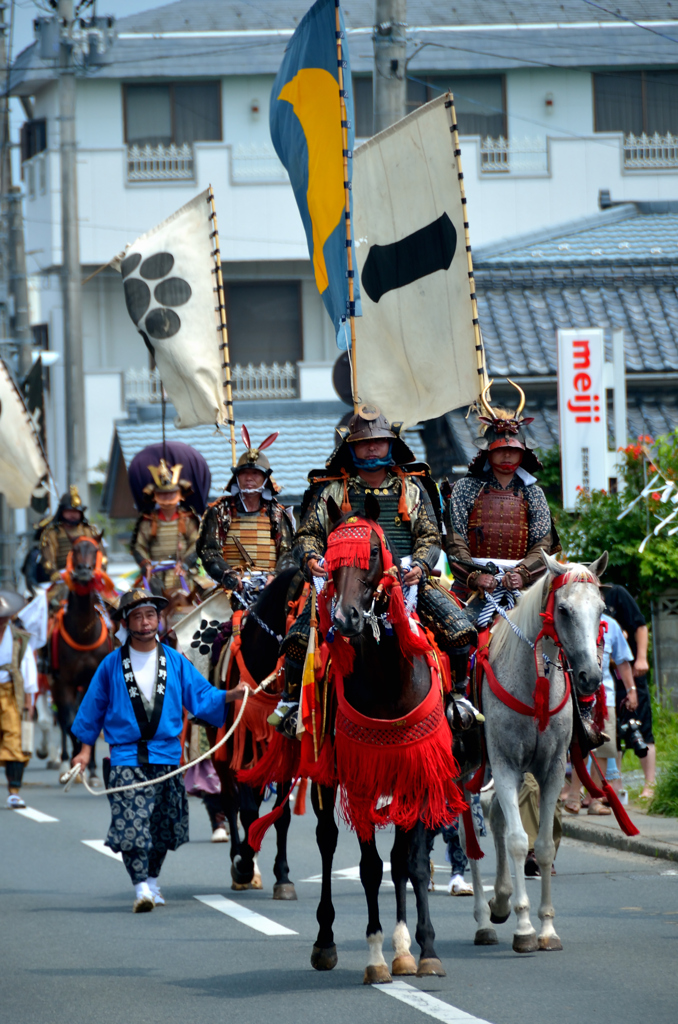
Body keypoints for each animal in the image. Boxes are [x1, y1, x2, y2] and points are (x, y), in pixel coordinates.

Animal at [49, 536, 116, 774]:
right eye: (75, 549)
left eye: (95, 550)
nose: (84, 571)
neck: (83, 634)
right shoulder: (64, 682)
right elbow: (71, 722)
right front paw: (76, 762)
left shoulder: (91, 680)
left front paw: (92, 767)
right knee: (62, 719)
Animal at [464, 552, 606, 950]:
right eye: (564, 609)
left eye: (601, 609)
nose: (590, 677)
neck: (533, 681)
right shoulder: (505, 765)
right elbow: (516, 841)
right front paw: (525, 928)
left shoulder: (552, 769)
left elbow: (540, 846)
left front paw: (546, 928)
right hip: (470, 768)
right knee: (470, 836)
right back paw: (483, 920)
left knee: (496, 818)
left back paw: (500, 899)